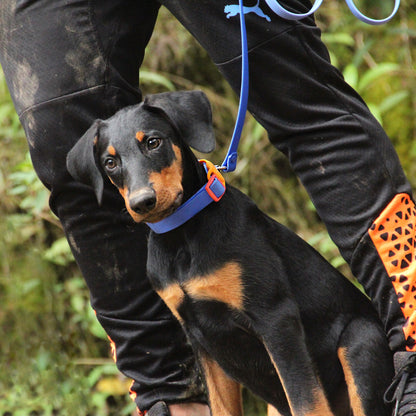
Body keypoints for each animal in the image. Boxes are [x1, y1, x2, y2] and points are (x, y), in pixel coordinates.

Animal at [67, 91, 394, 416]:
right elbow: (221, 407)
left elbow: (306, 402)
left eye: (153, 142)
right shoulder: (202, 339)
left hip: (360, 340)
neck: (181, 237)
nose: (142, 202)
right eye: (110, 162)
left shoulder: (276, 319)